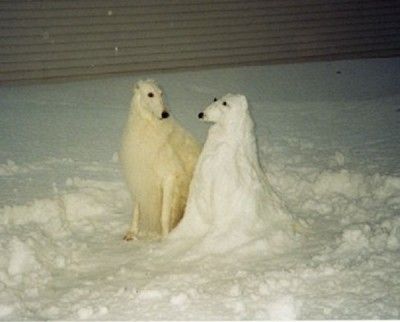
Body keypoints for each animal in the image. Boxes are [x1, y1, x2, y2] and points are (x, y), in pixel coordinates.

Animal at [119, 79, 200, 240]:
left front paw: (165, 239)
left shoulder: (169, 177)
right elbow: (136, 210)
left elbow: (164, 216)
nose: (165, 114)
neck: (149, 126)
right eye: (150, 94)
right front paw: (132, 232)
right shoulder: (139, 176)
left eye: (161, 94)